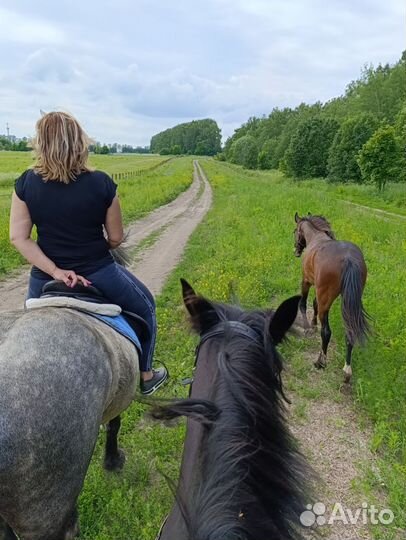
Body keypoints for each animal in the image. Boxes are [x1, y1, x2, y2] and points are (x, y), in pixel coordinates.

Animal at [294, 213, 370, 382]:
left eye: (295, 231)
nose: (296, 250)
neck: (316, 237)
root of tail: (349, 259)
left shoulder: (306, 281)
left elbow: (303, 303)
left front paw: (308, 327)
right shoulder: (319, 290)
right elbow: (314, 304)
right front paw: (313, 324)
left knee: (327, 332)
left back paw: (320, 362)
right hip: (347, 302)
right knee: (350, 332)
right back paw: (347, 370)